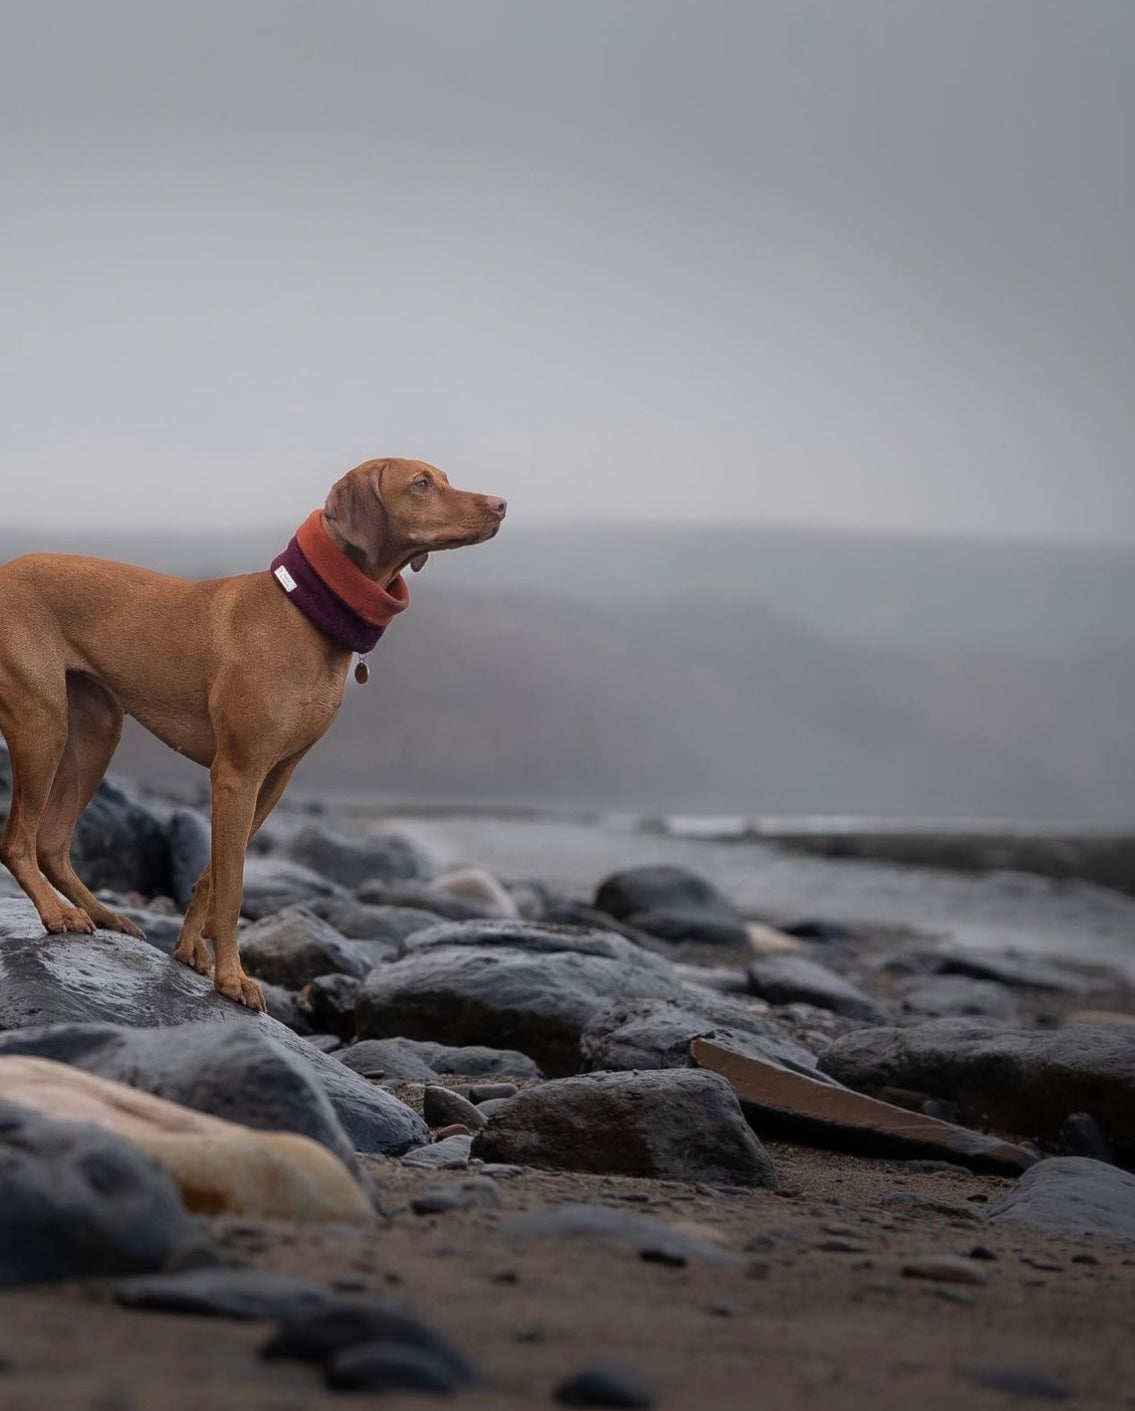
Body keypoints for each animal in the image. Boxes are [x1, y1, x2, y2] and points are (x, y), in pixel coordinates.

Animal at [0, 457, 508, 1010]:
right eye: (420, 484)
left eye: (443, 478)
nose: (501, 504)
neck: (305, 615)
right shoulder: (238, 773)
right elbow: (234, 889)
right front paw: (232, 977)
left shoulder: (273, 778)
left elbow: (213, 876)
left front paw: (189, 951)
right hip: (42, 722)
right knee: (18, 843)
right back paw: (56, 914)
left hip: (96, 734)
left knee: (52, 843)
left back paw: (104, 915)